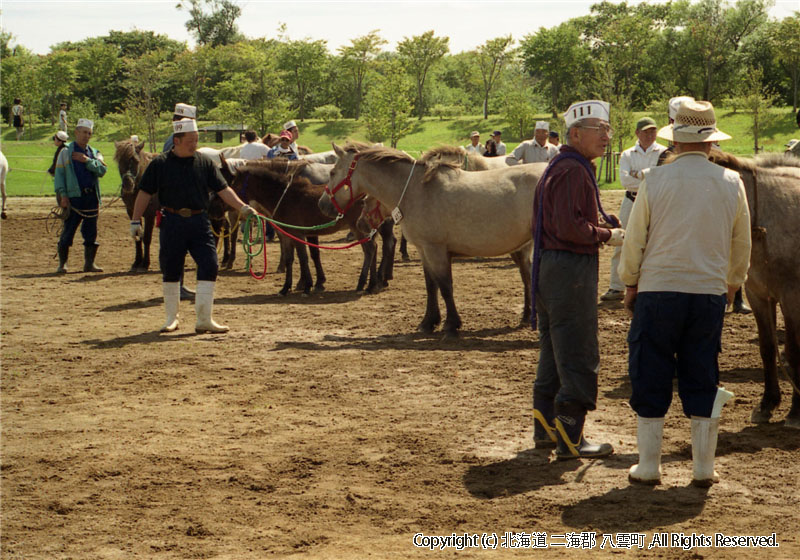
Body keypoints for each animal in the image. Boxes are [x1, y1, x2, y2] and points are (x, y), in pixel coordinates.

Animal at [114, 139, 158, 272]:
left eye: (136, 161)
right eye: (119, 160)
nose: (128, 184)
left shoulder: (150, 214)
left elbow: (147, 238)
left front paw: (146, 263)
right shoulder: (132, 212)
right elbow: (138, 237)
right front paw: (137, 262)